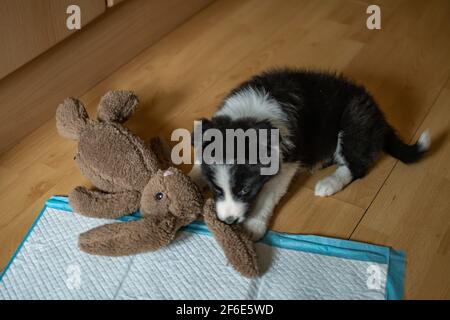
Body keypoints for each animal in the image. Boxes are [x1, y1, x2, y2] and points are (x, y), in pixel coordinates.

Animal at [188, 69, 430, 240]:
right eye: (217, 189)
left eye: (245, 190)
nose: (229, 221)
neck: (251, 115)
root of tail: (380, 116)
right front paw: (183, 183)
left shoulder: (287, 162)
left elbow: (268, 196)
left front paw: (254, 226)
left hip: (353, 122)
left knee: (356, 167)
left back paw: (328, 183)